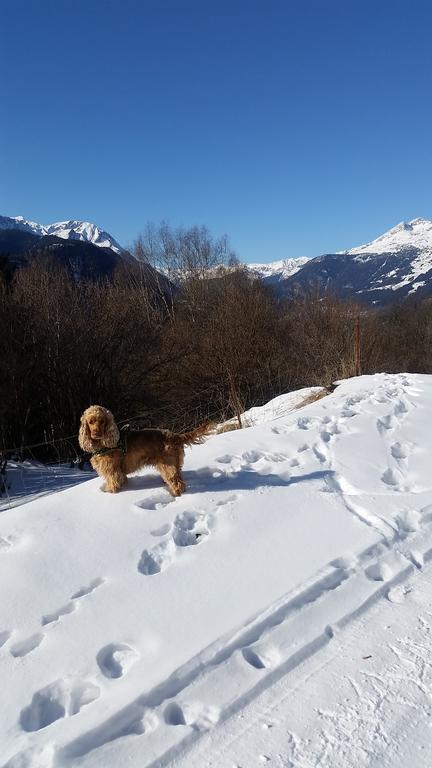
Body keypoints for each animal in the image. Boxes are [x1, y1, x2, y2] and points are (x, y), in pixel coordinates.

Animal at [79, 404, 213, 496]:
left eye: (102, 421)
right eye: (90, 422)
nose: (96, 433)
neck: (104, 444)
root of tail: (175, 436)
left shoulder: (112, 471)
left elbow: (113, 485)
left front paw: (110, 492)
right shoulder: (120, 473)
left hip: (167, 465)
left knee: (178, 483)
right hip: (175, 463)